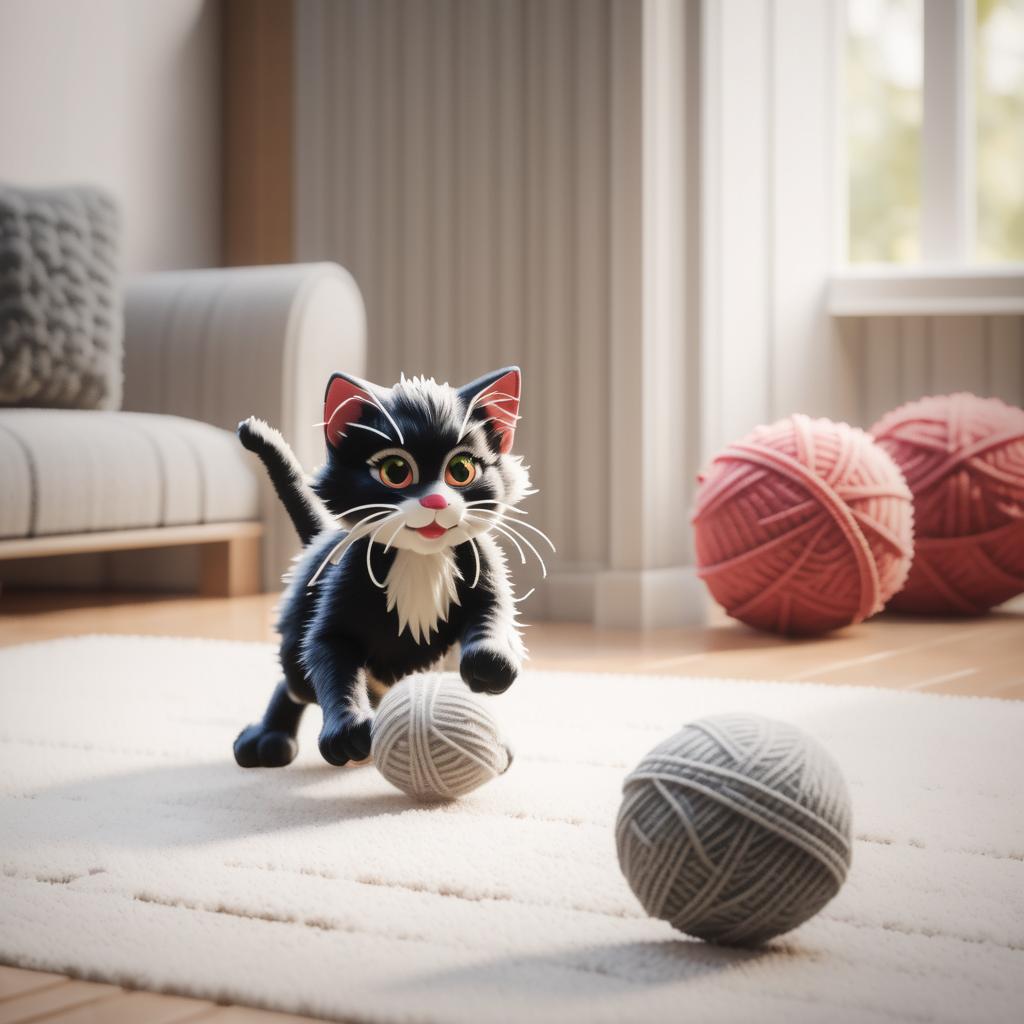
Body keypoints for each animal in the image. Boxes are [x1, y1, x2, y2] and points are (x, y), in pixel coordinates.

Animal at [230, 366, 552, 770]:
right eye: (395, 471)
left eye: (461, 470)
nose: (435, 501)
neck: (421, 558)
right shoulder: (345, 582)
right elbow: (327, 649)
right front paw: (347, 730)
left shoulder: (482, 564)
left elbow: (493, 613)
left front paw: (490, 663)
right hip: (296, 631)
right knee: (294, 682)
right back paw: (267, 740)